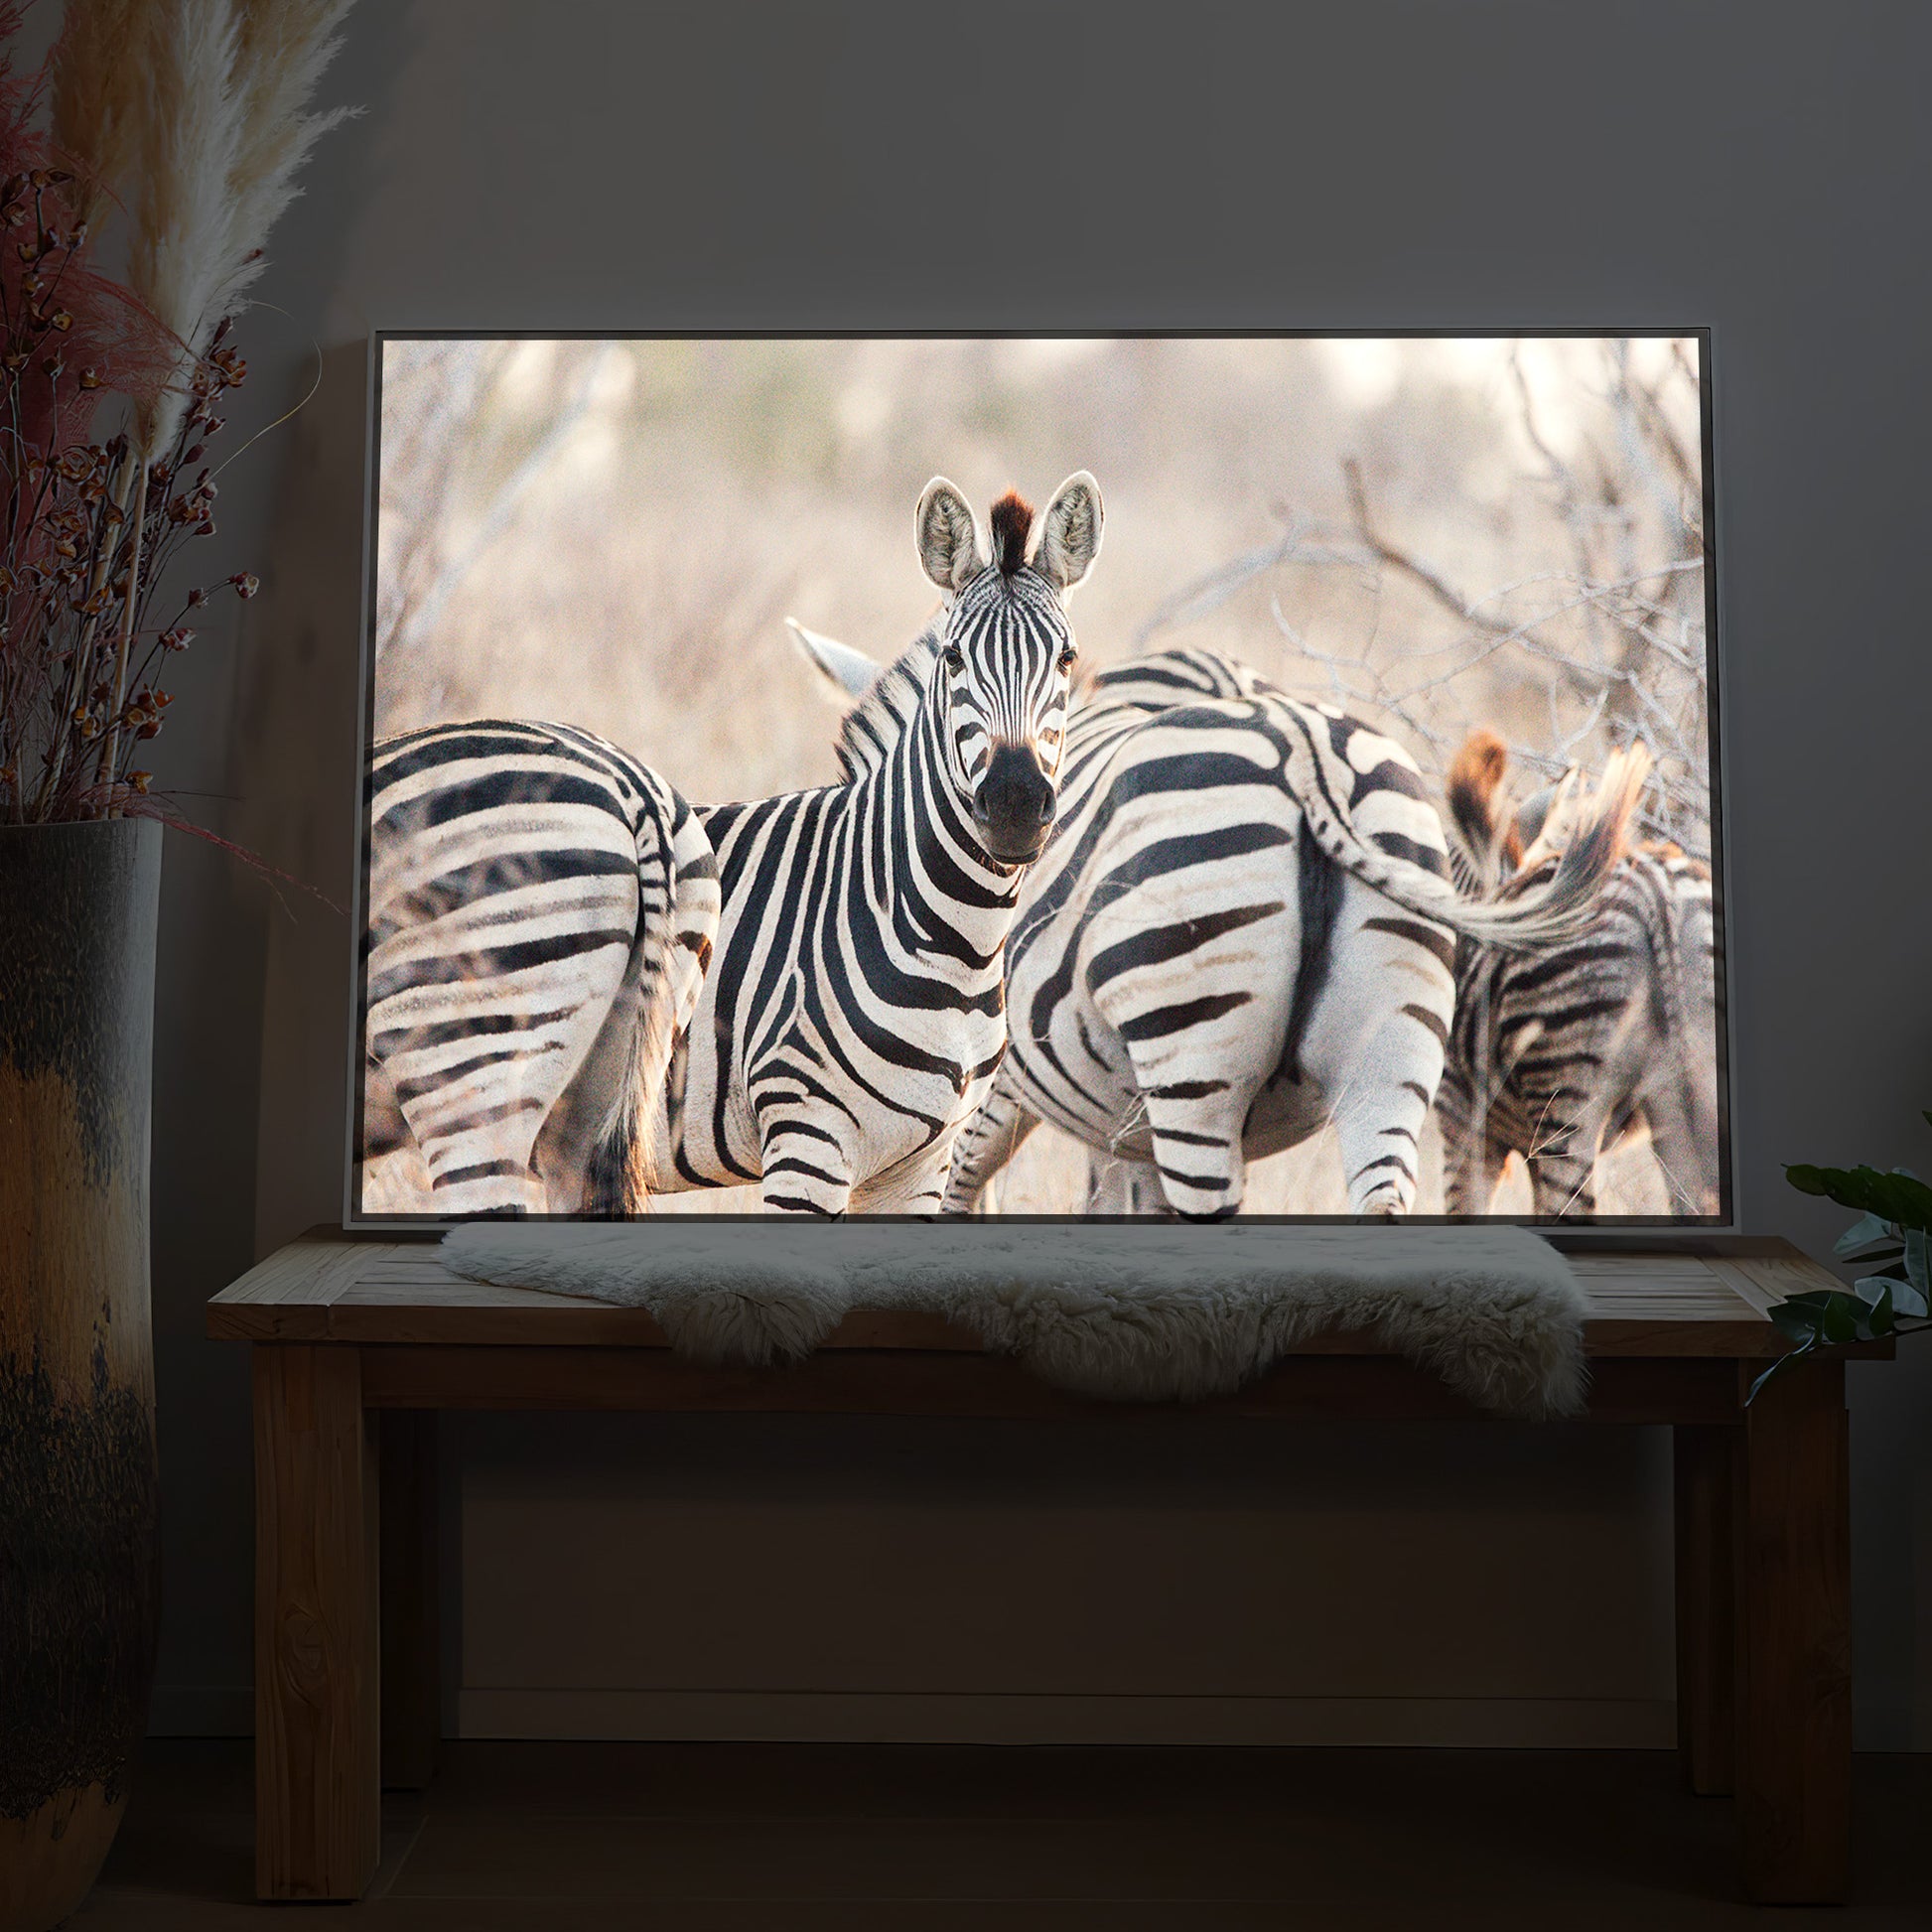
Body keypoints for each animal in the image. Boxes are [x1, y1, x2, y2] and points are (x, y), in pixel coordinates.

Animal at [361, 472, 1103, 1216]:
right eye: (953, 659)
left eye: (1067, 658)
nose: (1014, 806)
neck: (950, 940)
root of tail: (638, 803)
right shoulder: (807, 1132)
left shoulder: (918, 1165)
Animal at [786, 629, 1645, 1218]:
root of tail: (1308, 754)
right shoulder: (1119, 1122)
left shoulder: (991, 1091)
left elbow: (964, 1192)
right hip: (1394, 1057)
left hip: (1194, 1056)